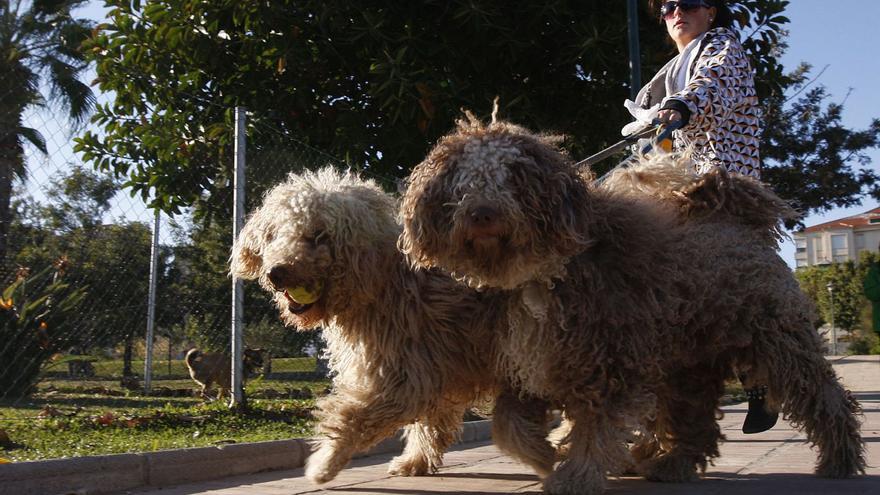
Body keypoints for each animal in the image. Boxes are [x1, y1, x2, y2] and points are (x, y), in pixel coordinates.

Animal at [230, 168, 512, 484]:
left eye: (318, 236)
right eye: (274, 235)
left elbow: (354, 416)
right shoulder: (433, 367)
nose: (275, 272)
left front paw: (325, 463)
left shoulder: (405, 371)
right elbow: (430, 421)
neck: (388, 280)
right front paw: (414, 460)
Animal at [400, 117, 868, 495]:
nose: (481, 213)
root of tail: (737, 220)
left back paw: (840, 460)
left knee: (825, 398)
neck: (540, 274)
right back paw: (673, 464)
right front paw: (546, 454)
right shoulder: (531, 366)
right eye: (462, 181)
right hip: (689, 366)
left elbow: (595, 430)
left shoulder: (609, 363)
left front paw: (575, 475)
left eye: (513, 177)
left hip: (778, 343)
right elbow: (509, 427)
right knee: (697, 421)